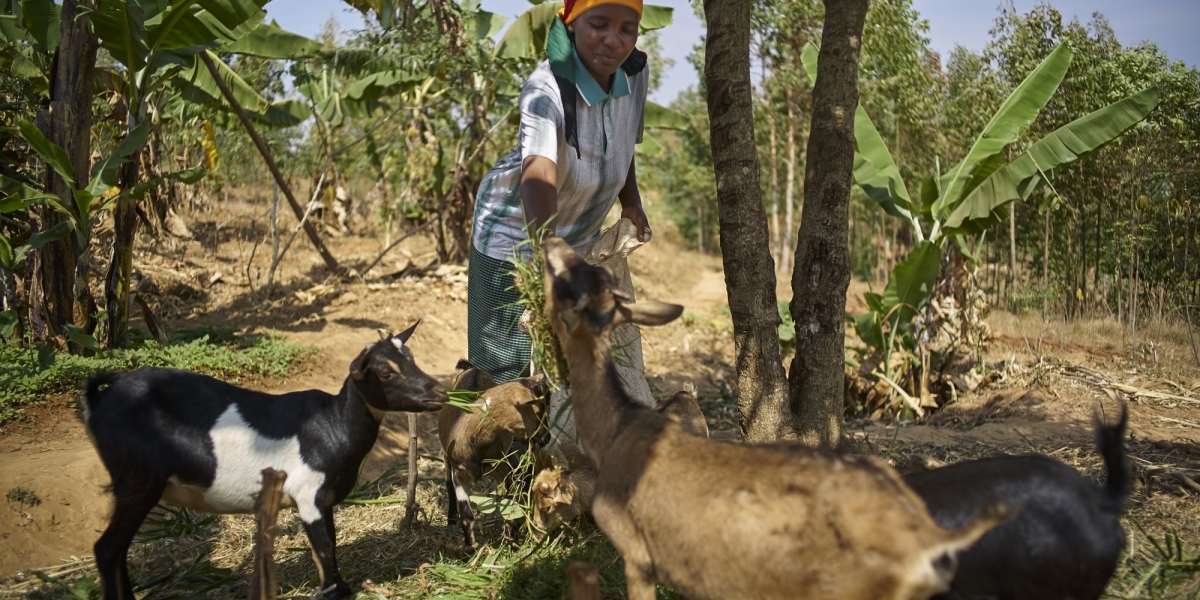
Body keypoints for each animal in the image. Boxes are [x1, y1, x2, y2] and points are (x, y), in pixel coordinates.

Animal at [82, 326, 446, 597]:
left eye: (411, 358)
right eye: (385, 371)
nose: (440, 392)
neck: (333, 425)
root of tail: (102, 397)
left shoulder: (324, 500)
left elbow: (331, 545)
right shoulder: (307, 495)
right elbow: (324, 553)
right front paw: (330, 592)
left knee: (119, 552)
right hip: (138, 481)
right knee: (107, 549)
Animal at [441, 364, 552, 549]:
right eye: (538, 411)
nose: (547, 438)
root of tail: (473, 369)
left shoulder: (500, 468)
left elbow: (509, 504)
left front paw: (510, 541)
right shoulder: (460, 473)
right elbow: (466, 514)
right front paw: (470, 549)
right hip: (446, 456)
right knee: (447, 482)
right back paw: (450, 518)